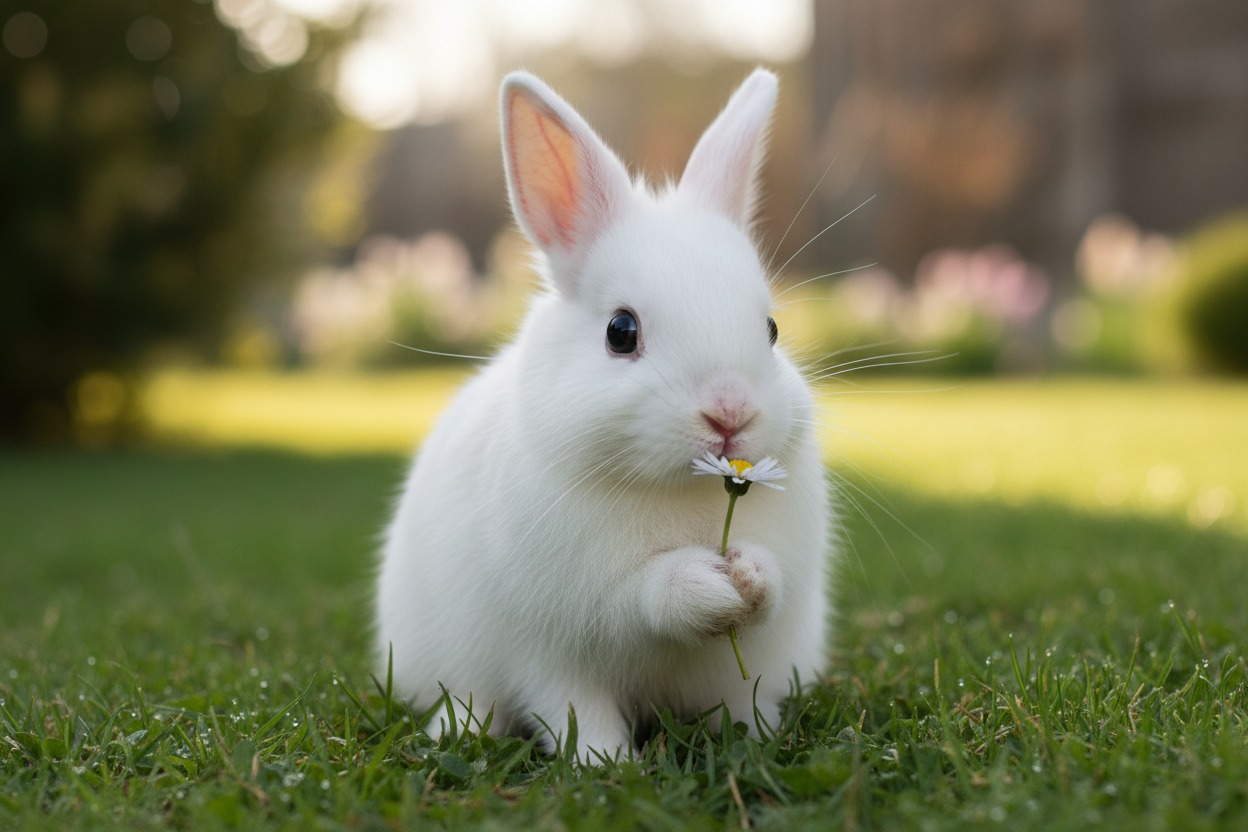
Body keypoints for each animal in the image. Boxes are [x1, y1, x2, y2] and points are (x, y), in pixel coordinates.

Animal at [375, 67, 831, 762]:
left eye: (772, 328)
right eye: (621, 331)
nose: (730, 412)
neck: (684, 490)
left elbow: (767, 596)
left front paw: (748, 577)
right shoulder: (570, 627)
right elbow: (647, 596)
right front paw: (706, 586)